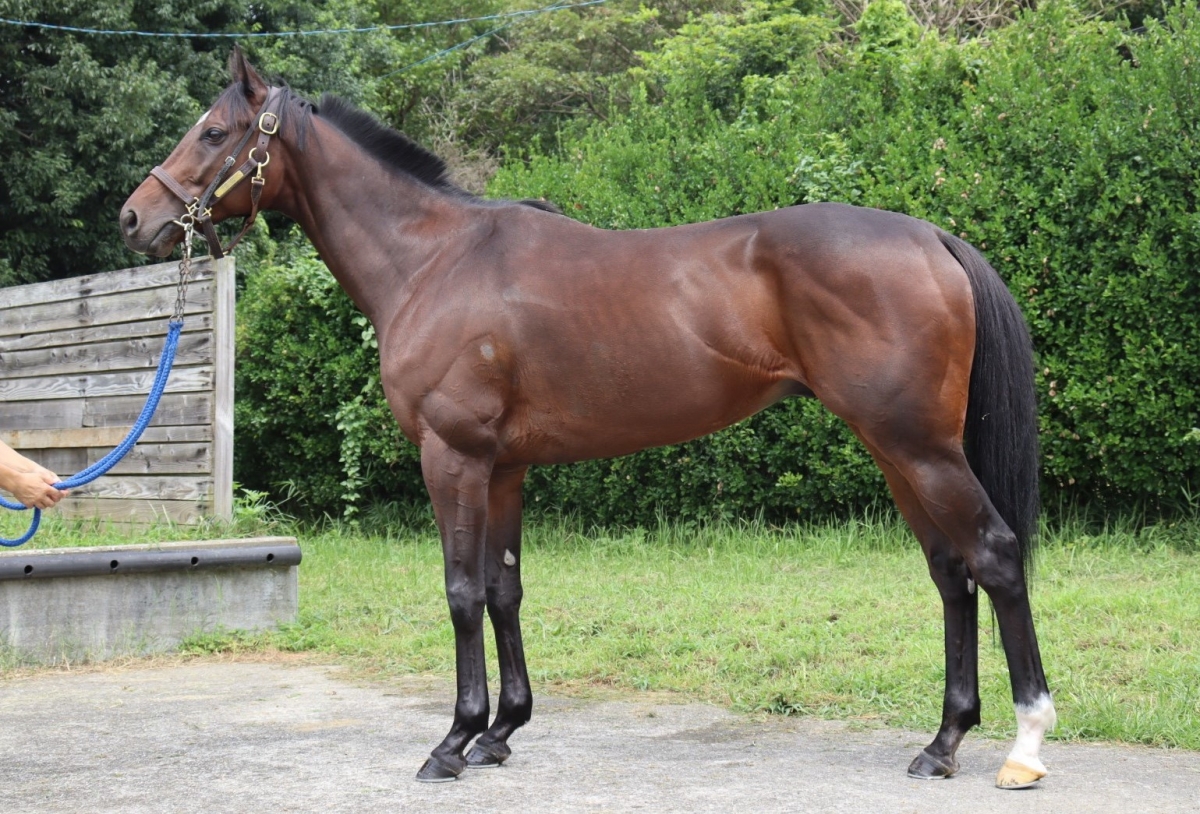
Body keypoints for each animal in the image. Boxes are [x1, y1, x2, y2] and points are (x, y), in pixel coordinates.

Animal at [120, 48, 1055, 788]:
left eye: (214, 132)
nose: (136, 216)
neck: (434, 260)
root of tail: (931, 237)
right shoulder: (504, 467)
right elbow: (504, 588)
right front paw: (502, 731)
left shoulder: (452, 458)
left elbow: (461, 591)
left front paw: (452, 741)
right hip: (897, 451)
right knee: (950, 572)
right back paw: (942, 741)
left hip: (919, 448)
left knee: (995, 555)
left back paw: (1025, 745)